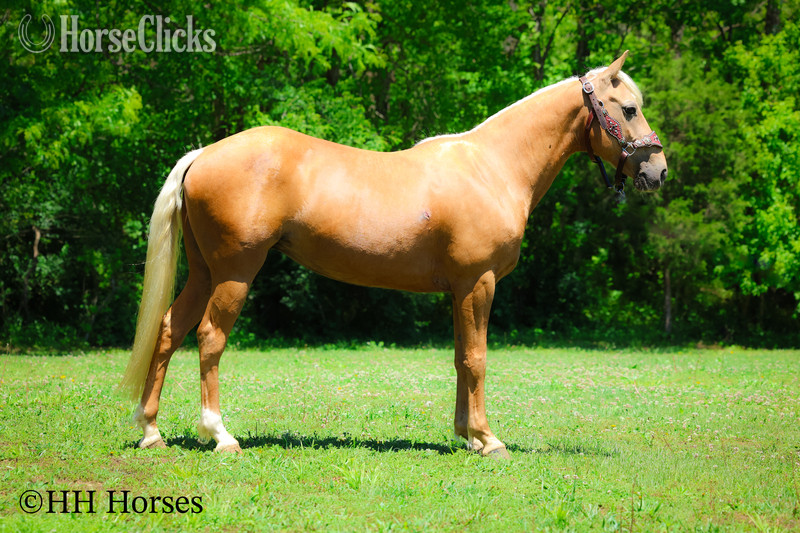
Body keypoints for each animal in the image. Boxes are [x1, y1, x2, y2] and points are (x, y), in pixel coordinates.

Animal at [120, 51, 667, 459]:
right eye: (629, 108)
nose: (658, 171)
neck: (492, 168)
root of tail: (203, 154)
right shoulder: (479, 282)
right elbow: (478, 357)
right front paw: (488, 440)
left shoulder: (459, 290)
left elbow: (460, 359)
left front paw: (467, 435)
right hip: (235, 271)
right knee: (210, 337)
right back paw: (220, 435)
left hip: (203, 271)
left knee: (169, 331)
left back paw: (151, 431)